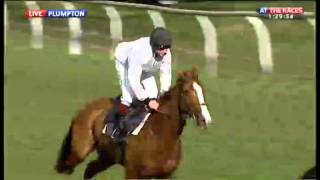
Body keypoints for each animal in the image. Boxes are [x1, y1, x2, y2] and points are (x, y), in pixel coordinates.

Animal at [55, 67, 214, 179]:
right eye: (186, 91)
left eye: (202, 90)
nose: (206, 119)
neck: (161, 135)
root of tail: (86, 108)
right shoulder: (133, 173)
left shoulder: (165, 175)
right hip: (80, 151)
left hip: (108, 157)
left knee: (89, 170)